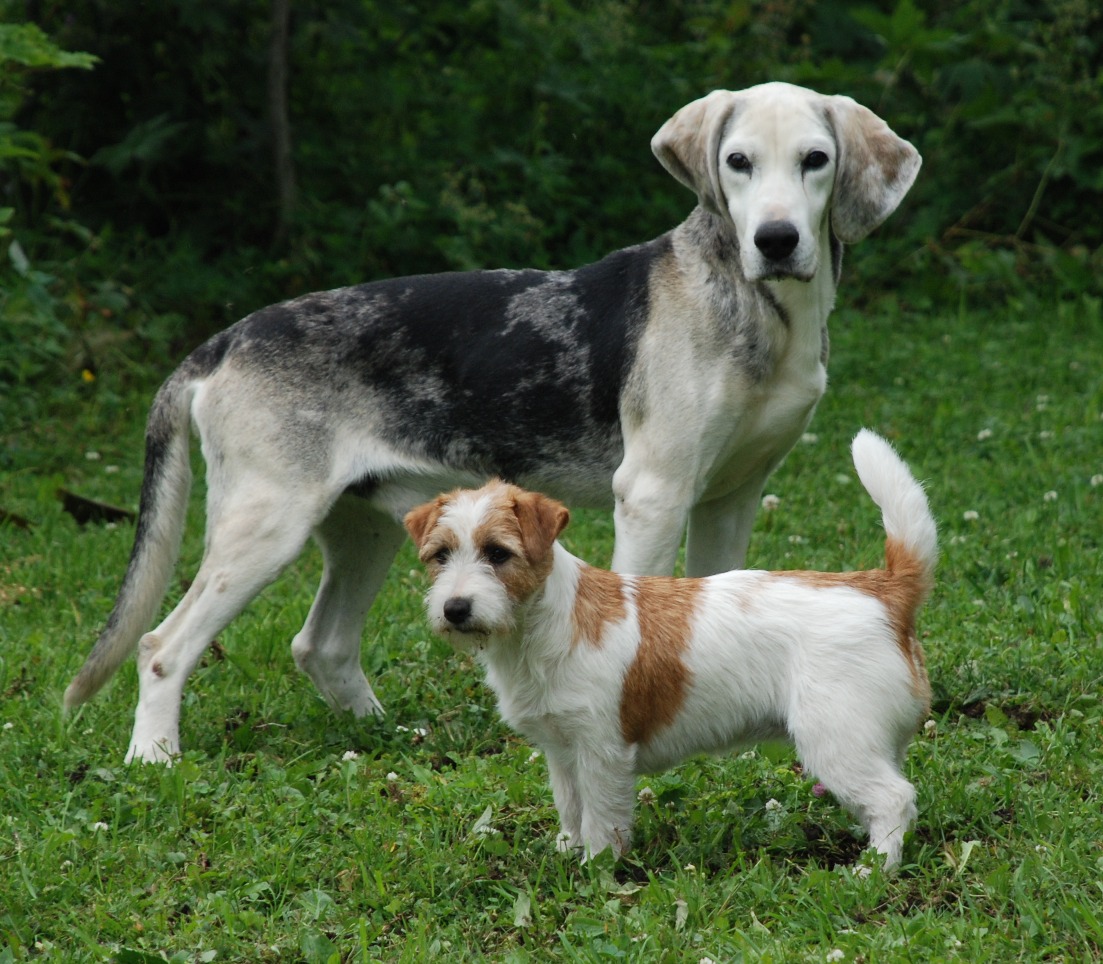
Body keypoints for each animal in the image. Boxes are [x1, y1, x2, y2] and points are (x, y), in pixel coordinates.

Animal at [66, 82, 922, 758]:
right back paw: (154, 758)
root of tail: (224, 341)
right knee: (162, 646)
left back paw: (385, 736)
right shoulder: (653, 494)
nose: (775, 240)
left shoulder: (729, 499)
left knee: (322, 646)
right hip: (264, 528)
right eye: (738, 162)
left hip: (364, 529)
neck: (759, 309)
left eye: (814, 159)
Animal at [405, 427, 939, 864]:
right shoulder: (562, 752)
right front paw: (565, 851)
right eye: (440, 556)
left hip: (835, 741)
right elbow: (571, 809)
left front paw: (595, 870)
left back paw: (873, 871)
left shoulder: (602, 752)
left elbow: (601, 821)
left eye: (498, 554)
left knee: (894, 799)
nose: (455, 608)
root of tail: (885, 587)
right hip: (867, 741)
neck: (542, 626)